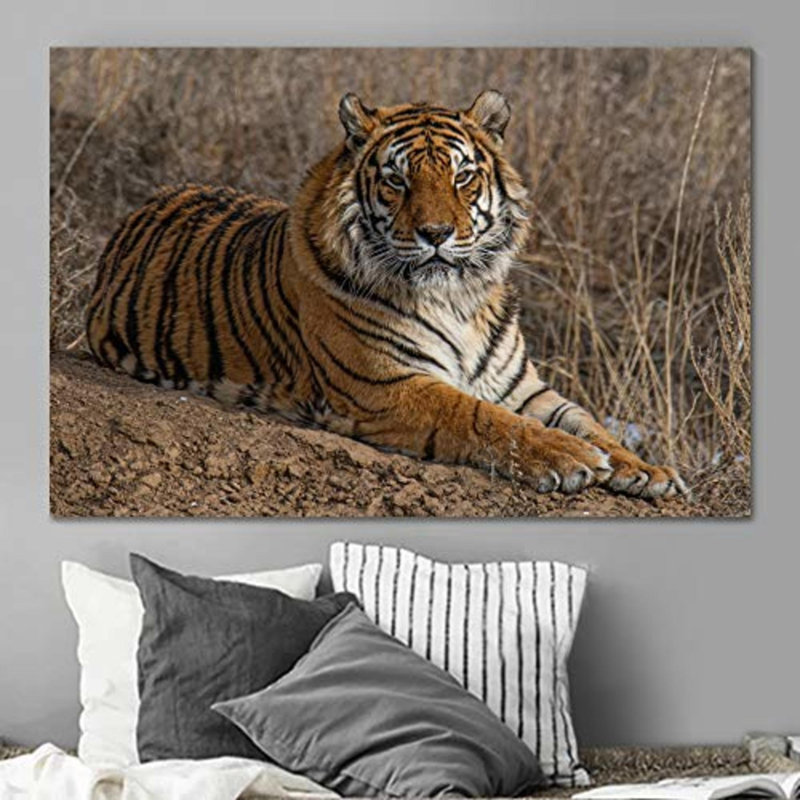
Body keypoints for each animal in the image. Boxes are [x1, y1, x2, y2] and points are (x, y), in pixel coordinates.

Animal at [86, 90, 686, 499]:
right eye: (398, 180)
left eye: (462, 177)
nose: (436, 233)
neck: (459, 299)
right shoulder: (387, 385)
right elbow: (484, 418)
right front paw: (570, 457)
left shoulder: (524, 388)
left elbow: (587, 419)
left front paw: (646, 469)